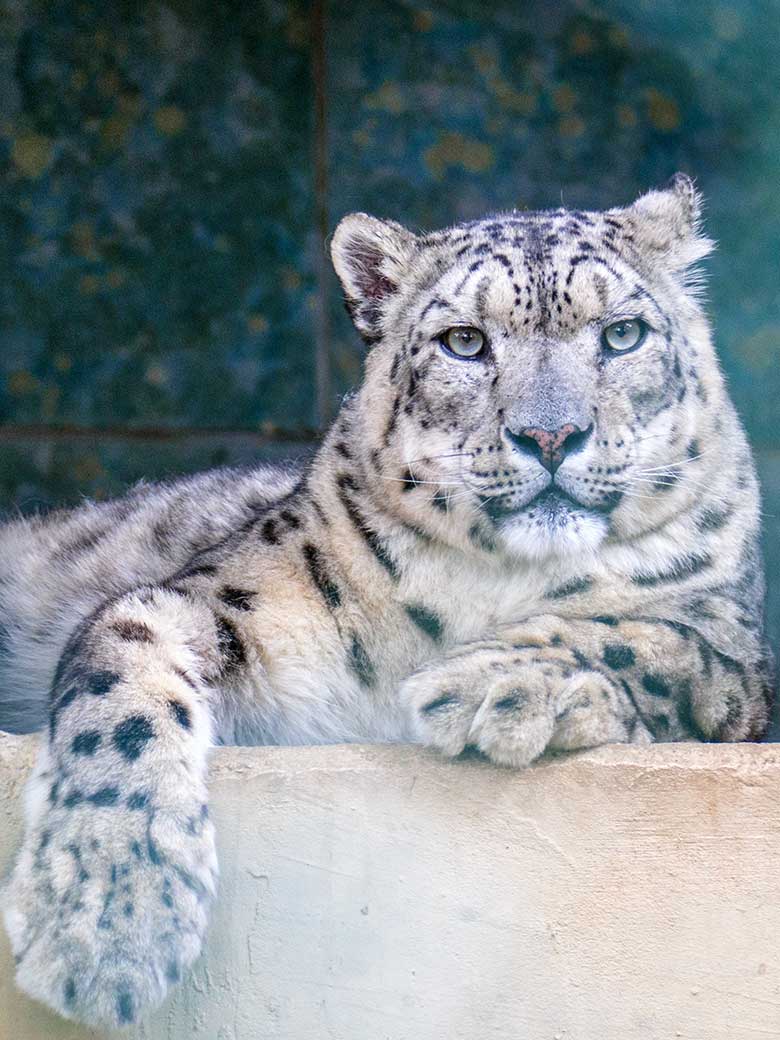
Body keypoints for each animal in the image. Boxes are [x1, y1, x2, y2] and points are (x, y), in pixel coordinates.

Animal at [0, 174, 777, 1027]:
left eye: (623, 334)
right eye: (464, 342)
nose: (551, 435)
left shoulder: (739, 655)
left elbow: (649, 637)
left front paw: (494, 684)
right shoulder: (223, 604)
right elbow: (123, 676)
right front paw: (106, 914)